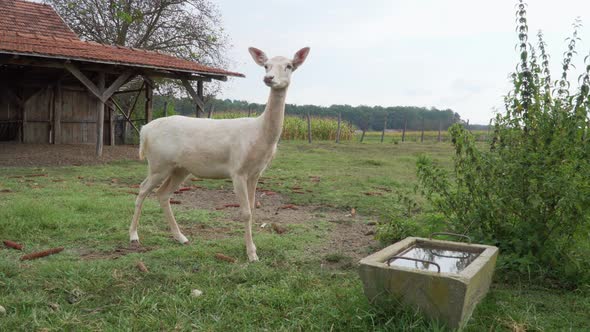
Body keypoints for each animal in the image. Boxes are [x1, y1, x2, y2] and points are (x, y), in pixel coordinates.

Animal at [128, 46, 312, 262]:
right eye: (266, 65)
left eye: (289, 66)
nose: (269, 78)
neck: (259, 137)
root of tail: (144, 131)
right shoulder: (237, 169)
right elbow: (245, 212)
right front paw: (251, 254)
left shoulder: (256, 173)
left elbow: (252, 208)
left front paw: (252, 248)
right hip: (158, 162)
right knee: (142, 189)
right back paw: (134, 235)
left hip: (180, 168)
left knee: (162, 194)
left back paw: (181, 237)